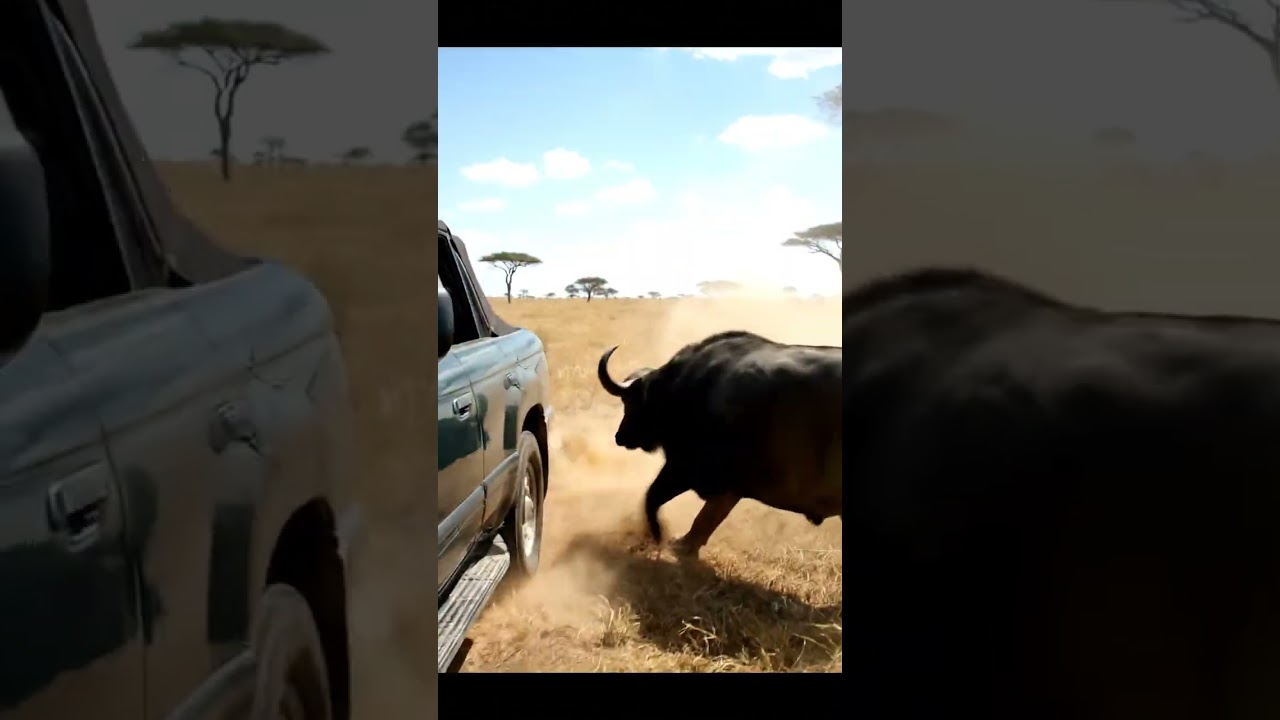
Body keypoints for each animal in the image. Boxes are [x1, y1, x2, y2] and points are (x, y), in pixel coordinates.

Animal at [597, 330, 842, 558]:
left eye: (630, 401)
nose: (620, 436)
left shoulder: (685, 469)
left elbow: (653, 498)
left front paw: (658, 537)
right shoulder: (730, 487)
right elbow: (707, 519)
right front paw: (683, 546)